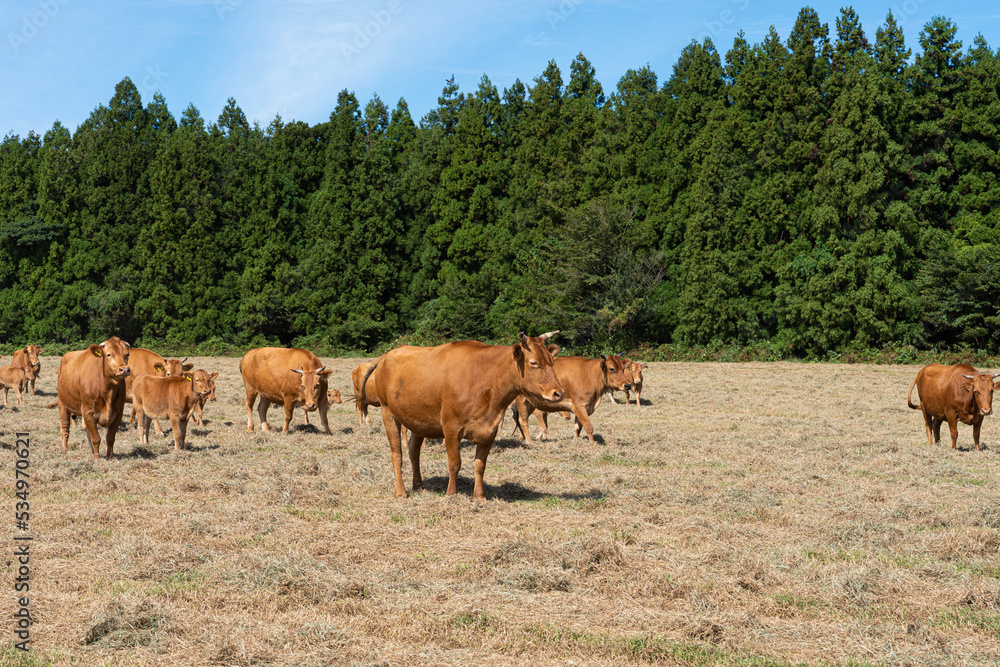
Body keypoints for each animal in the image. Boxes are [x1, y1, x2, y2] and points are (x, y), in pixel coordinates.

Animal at [360, 332, 568, 498]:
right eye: (534, 363)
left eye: (552, 361)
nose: (558, 393)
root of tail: (388, 354)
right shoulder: (451, 428)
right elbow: (455, 463)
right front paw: (452, 494)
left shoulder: (490, 430)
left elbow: (480, 465)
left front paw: (479, 496)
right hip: (388, 412)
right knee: (397, 454)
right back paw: (401, 492)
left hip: (417, 420)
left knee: (413, 451)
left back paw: (418, 485)